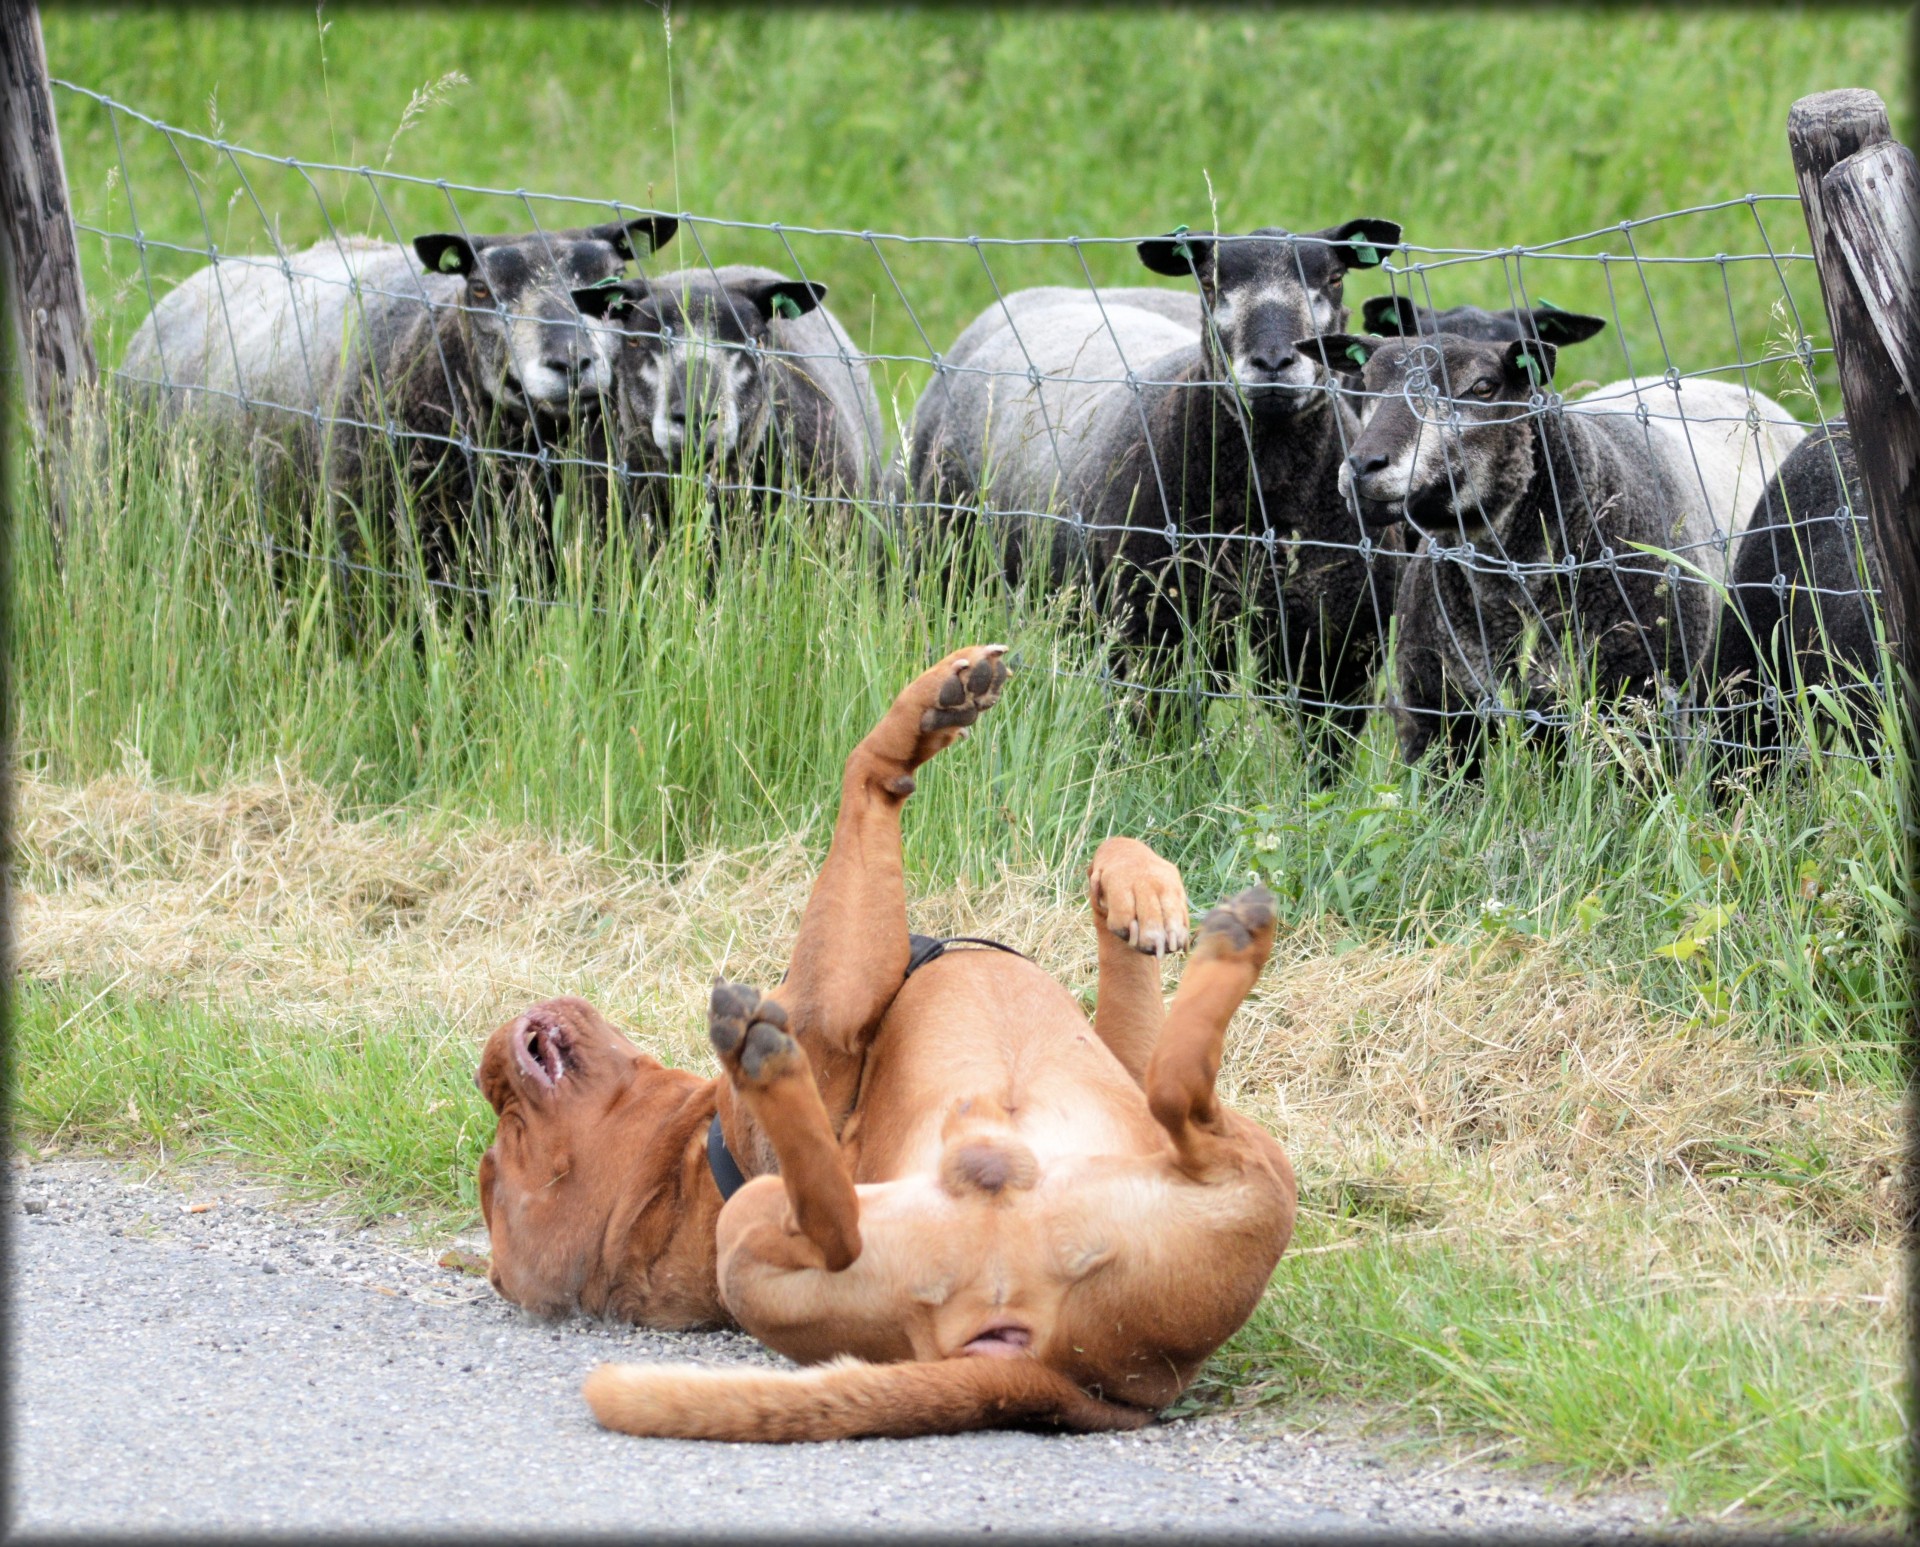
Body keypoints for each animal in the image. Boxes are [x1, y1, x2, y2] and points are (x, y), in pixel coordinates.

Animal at [472, 644, 1297, 1443]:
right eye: (508, 1148)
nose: (490, 1068)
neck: (694, 1158)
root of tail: (1054, 1365)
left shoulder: (1119, 1065)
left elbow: (1120, 900)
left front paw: (1142, 891)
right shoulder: (826, 1007)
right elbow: (863, 777)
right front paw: (925, 709)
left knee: (1173, 1096)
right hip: (1253, 1169)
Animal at [898, 217, 1413, 752]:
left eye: (1334, 278)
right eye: (1209, 283)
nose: (1273, 362)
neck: (1262, 513)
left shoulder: (1338, 656)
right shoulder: (1151, 640)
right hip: (943, 563)